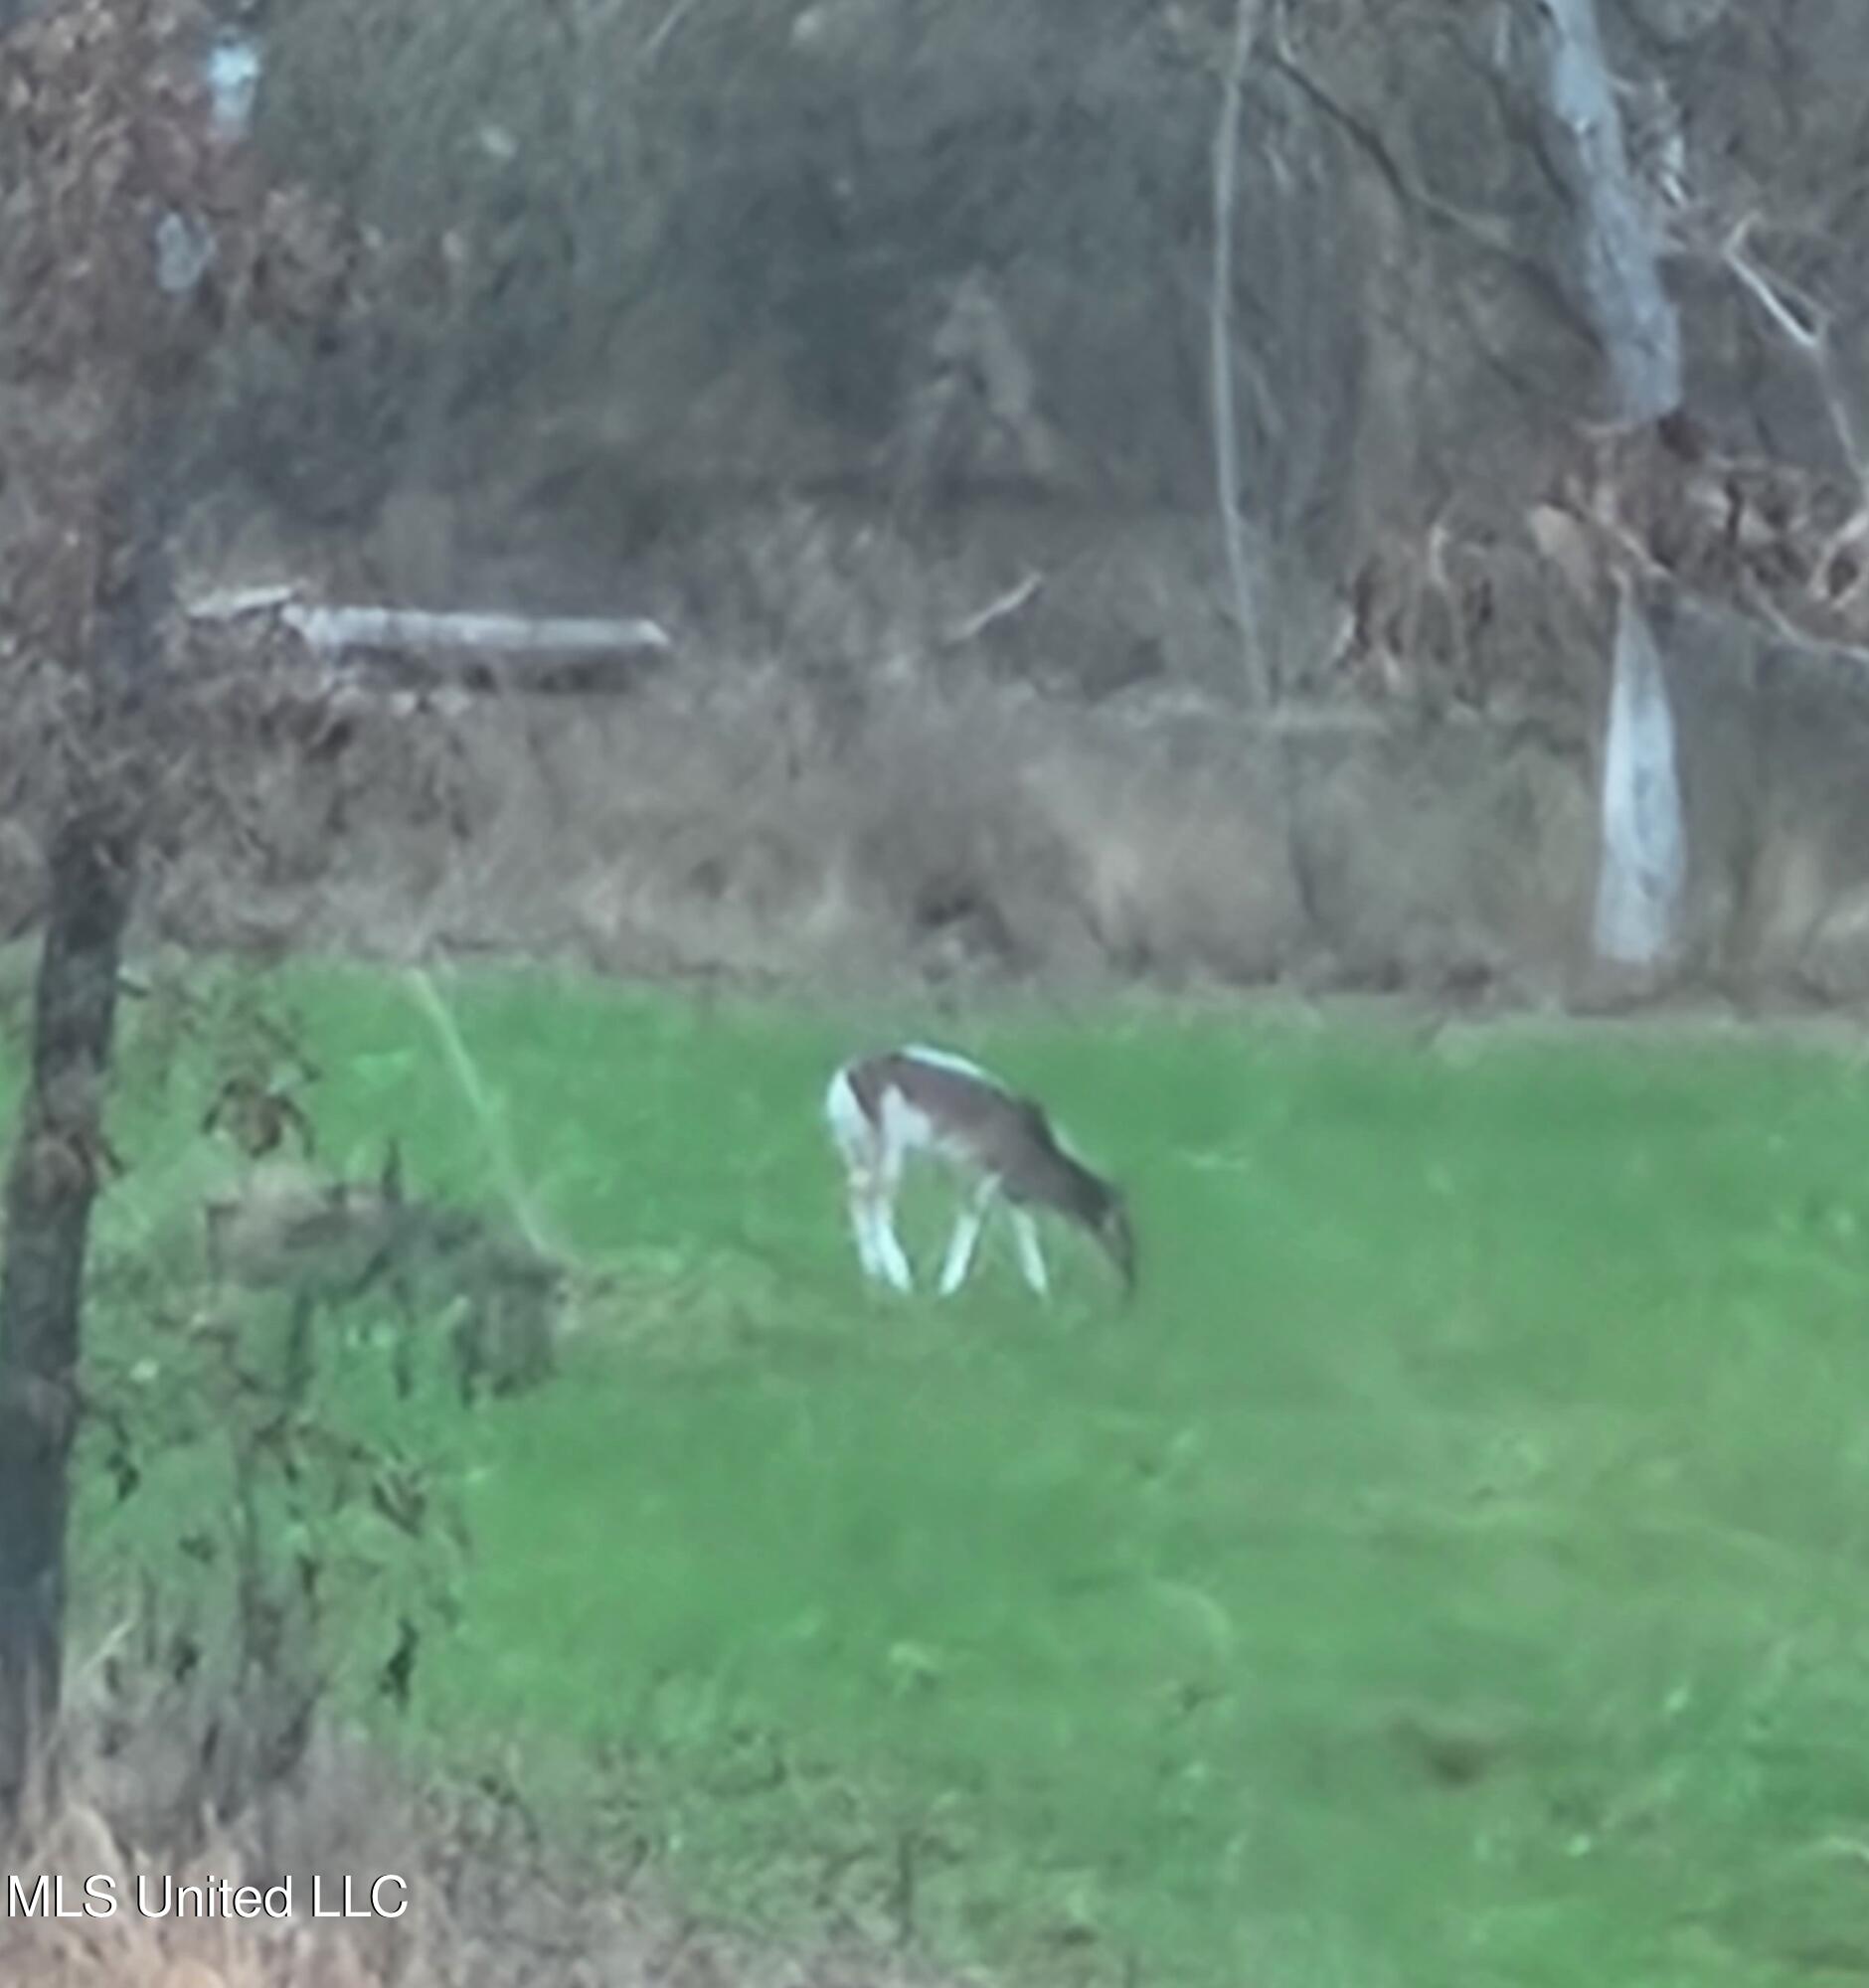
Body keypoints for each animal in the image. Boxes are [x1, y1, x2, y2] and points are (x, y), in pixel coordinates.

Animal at [825, 1044, 1134, 1301]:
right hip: (891, 1144)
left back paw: (874, 1271)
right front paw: (947, 1286)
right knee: (877, 1197)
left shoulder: (1003, 1188)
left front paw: (1040, 1290)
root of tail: (844, 1078)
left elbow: (1024, 1227)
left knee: (856, 1192)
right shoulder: (986, 1173)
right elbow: (974, 1218)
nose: (1130, 1285)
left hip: (856, 1148)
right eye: (1120, 1227)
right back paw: (900, 1276)